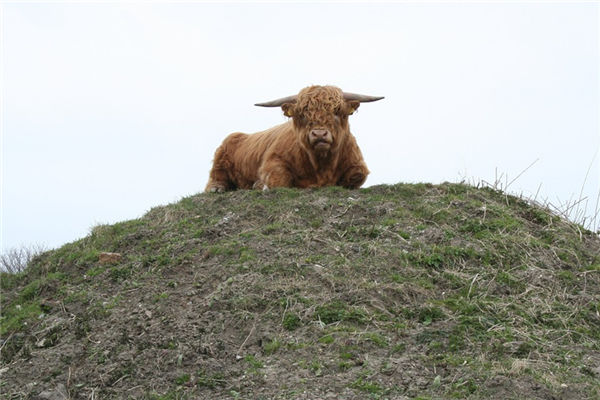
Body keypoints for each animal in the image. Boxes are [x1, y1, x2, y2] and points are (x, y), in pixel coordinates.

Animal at [206, 85, 382, 192]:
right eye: (303, 114)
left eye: (337, 111)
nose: (319, 134)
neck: (322, 165)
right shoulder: (272, 161)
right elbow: (278, 179)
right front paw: (260, 184)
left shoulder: (358, 165)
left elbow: (356, 176)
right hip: (221, 157)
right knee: (214, 179)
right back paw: (217, 188)